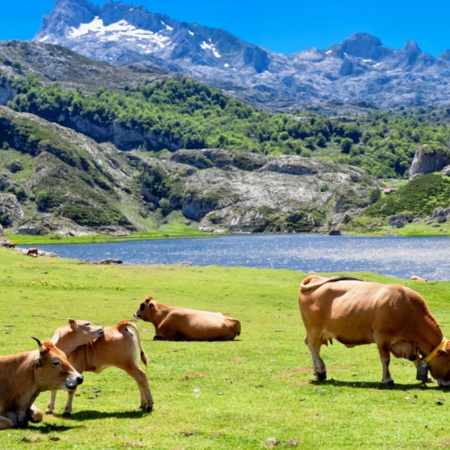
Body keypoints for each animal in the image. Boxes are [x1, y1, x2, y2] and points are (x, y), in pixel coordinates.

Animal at [298, 274, 450, 386]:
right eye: (449, 361)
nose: (447, 383)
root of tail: (316, 277)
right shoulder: (381, 337)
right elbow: (386, 359)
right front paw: (388, 379)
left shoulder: (406, 343)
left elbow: (415, 358)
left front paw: (427, 377)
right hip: (314, 328)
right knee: (311, 345)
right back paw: (321, 371)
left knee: (314, 347)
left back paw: (317, 372)